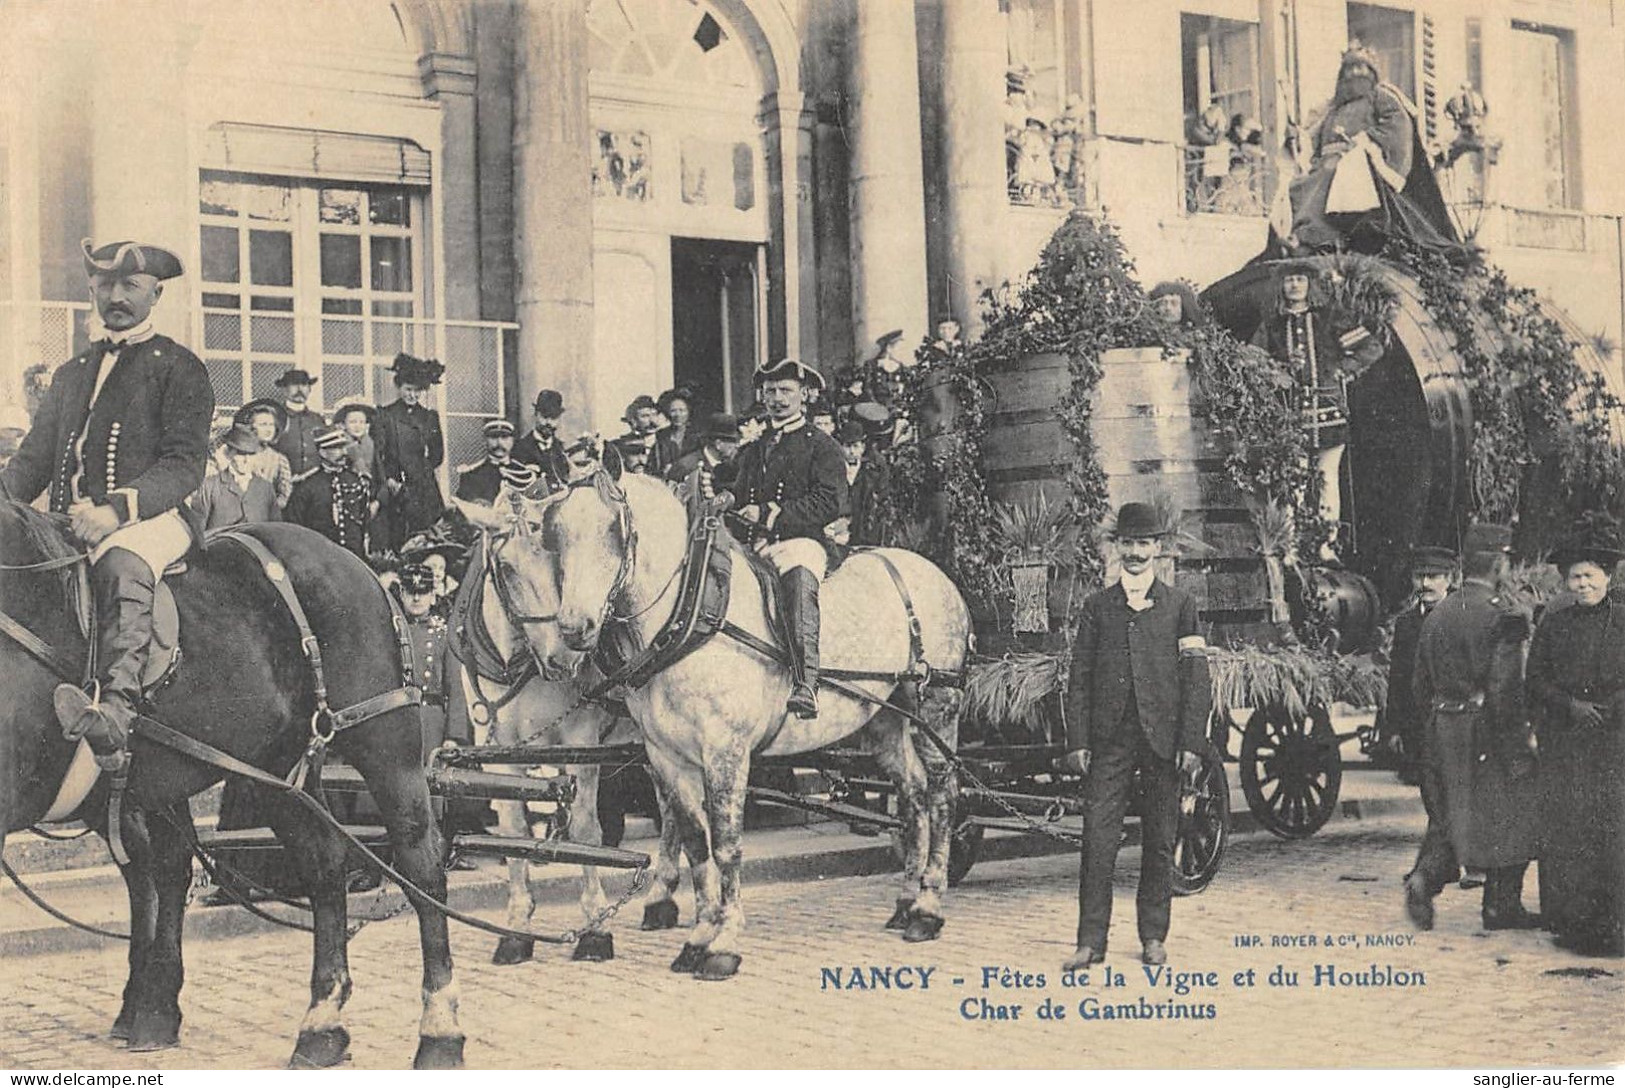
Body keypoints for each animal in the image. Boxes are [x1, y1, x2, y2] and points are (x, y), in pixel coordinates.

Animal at [0, 506, 464, 1071]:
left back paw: (439, 1032)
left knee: (421, 864)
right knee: (322, 865)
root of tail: (356, 564)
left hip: (383, 745)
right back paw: (320, 1026)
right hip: (272, 773)